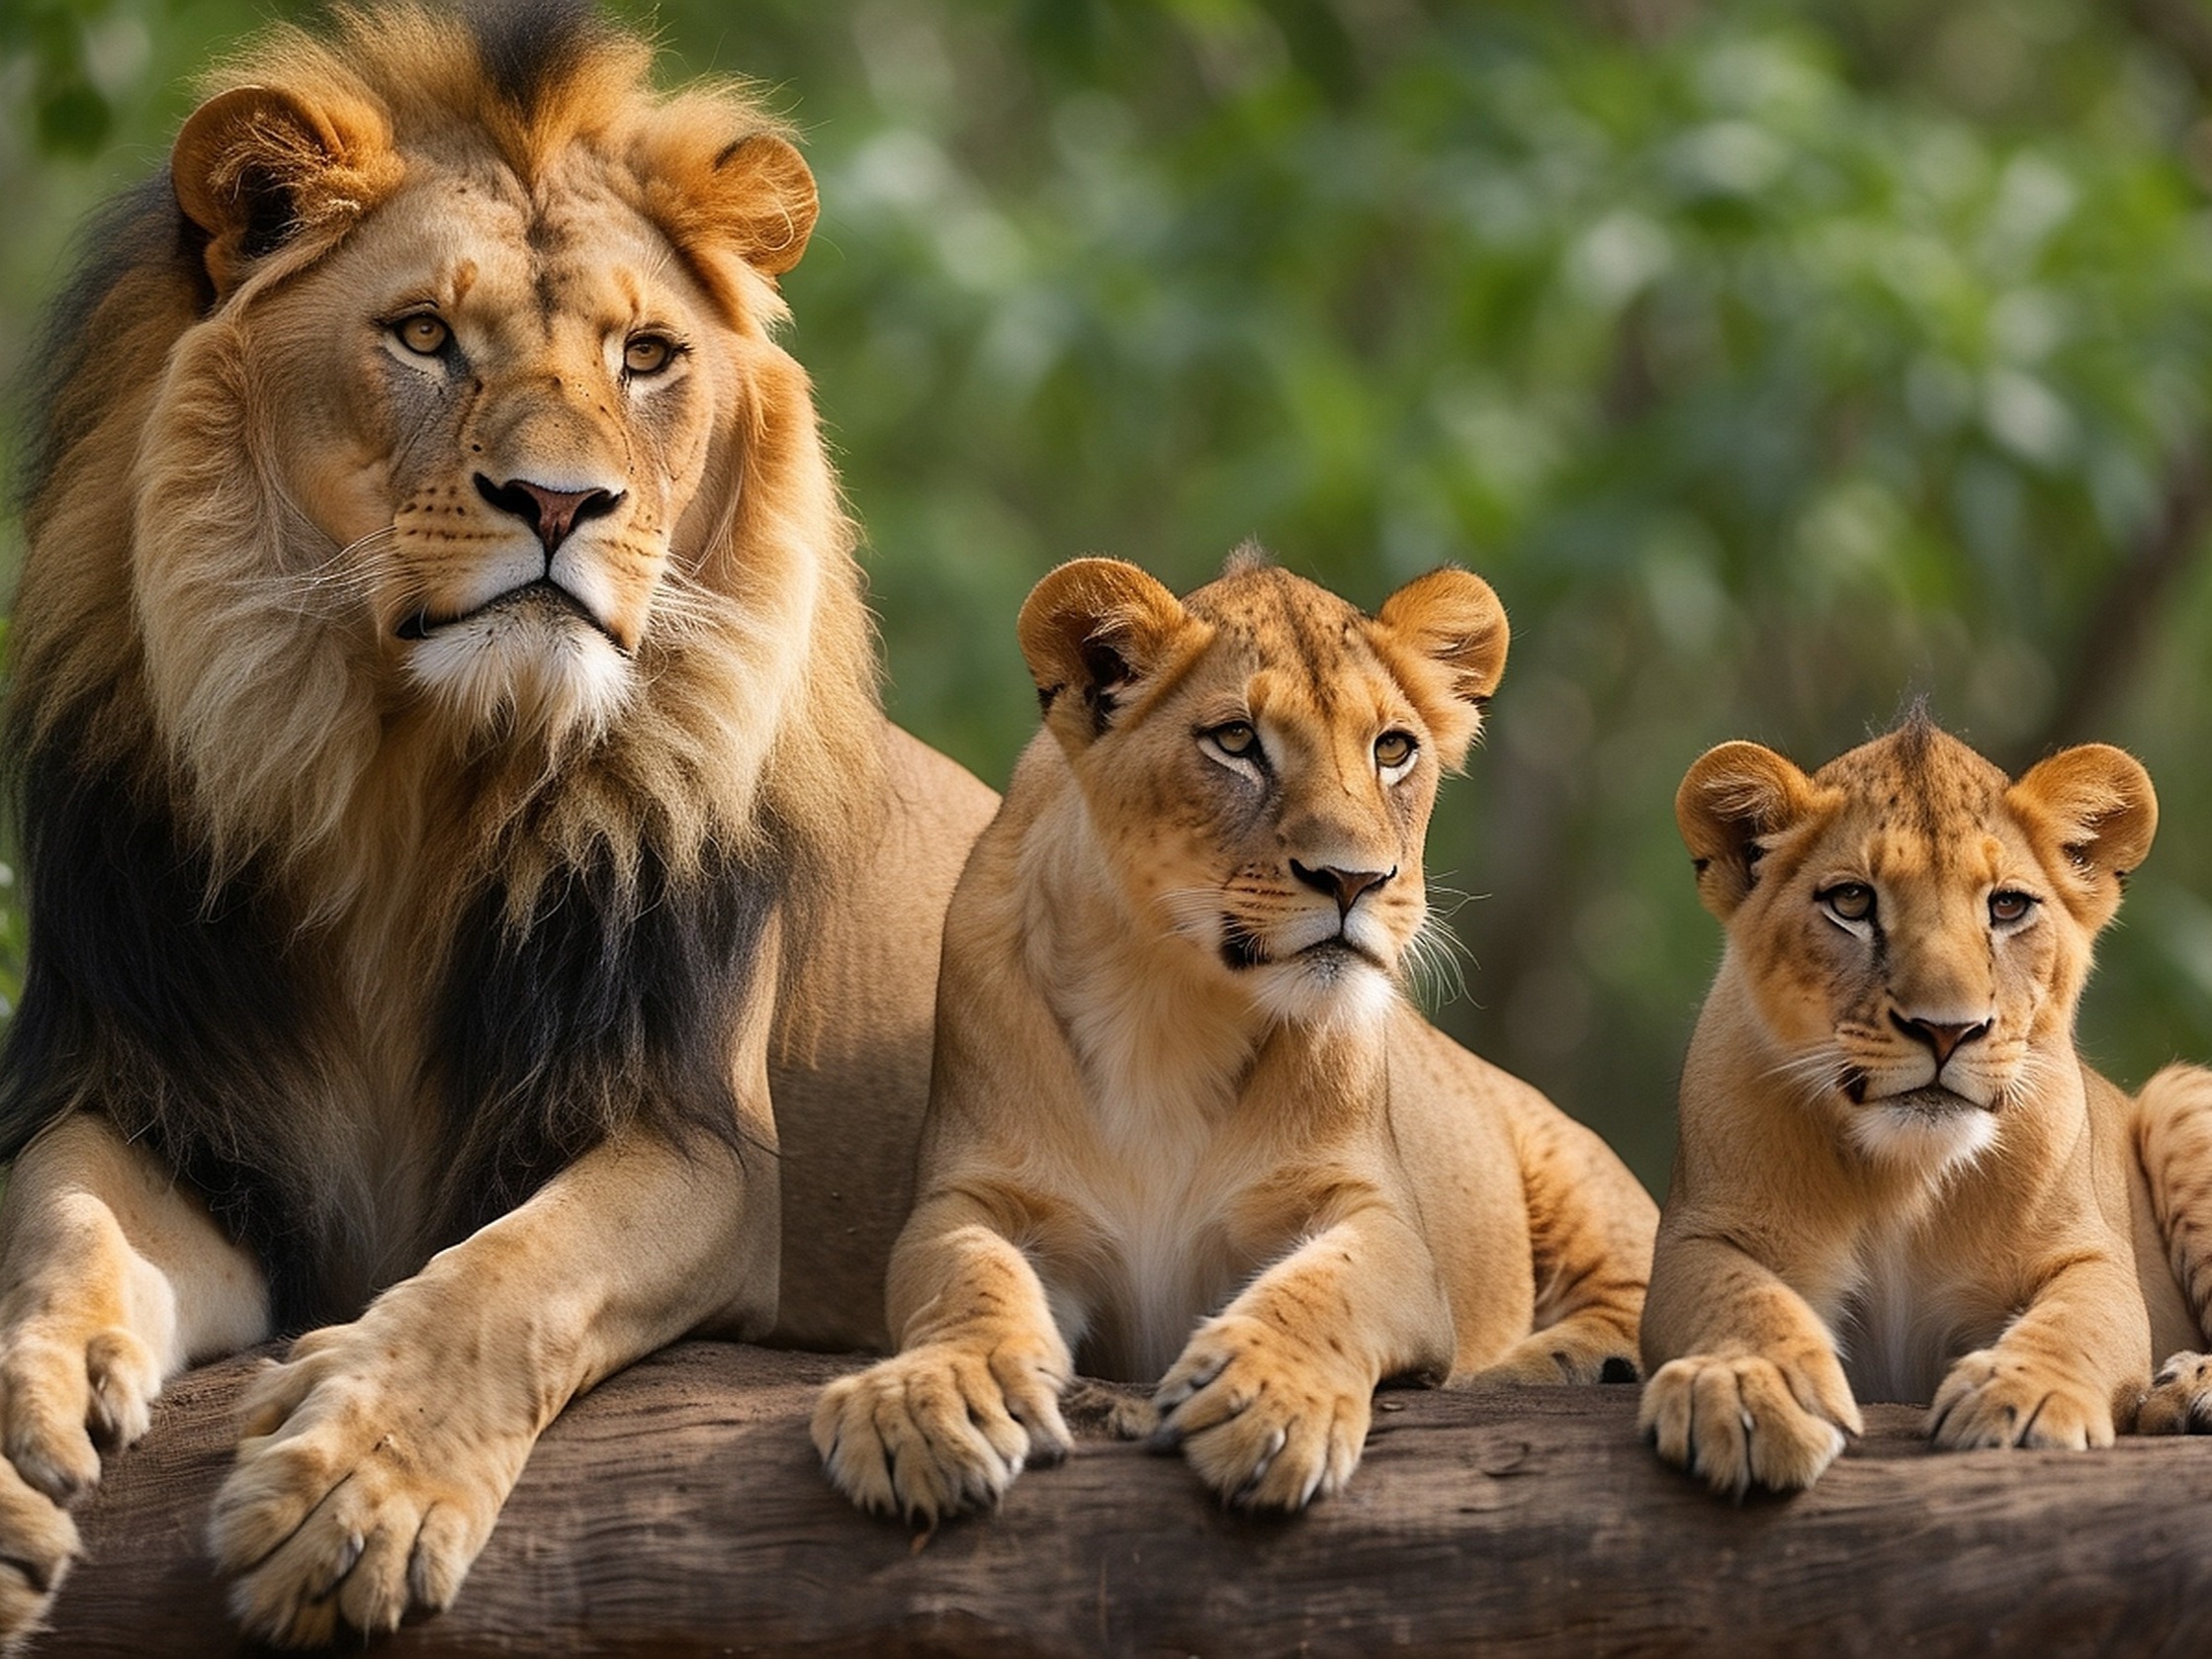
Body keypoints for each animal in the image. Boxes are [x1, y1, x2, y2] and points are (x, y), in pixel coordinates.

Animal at [0, 2, 994, 1644]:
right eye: (423, 336)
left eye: (646, 357)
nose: (559, 502)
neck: (409, 781)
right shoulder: (157, 1104)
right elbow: (63, 1219)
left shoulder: (697, 1145)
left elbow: (512, 1273)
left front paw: (356, 1490)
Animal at [811, 552, 1659, 1522]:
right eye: (1235, 741)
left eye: (1392, 749)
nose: (1353, 880)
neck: (1167, 1003)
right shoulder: (977, 1197)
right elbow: (967, 1278)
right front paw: (927, 1402)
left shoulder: (1377, 1218)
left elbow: (1326, 1287)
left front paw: (1268, 1401)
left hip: (1566, 1156)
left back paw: (1560, 1363)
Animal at [1640, 711, 2212, 1495]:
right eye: (1851, 901)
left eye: (2007, 905)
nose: (1948, 1029)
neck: (1902, 1171)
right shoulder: (1699, 1236)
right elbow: (1737, 1298)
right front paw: (1747, 1387)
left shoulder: (2090, 1253)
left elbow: (2080, 1321)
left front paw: (2023, 1394)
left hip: (2180, 1096)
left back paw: (2188, 1389)